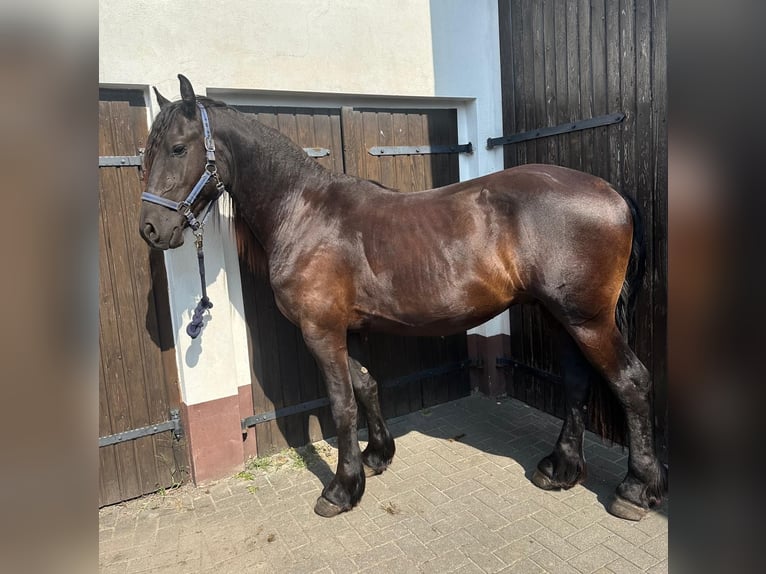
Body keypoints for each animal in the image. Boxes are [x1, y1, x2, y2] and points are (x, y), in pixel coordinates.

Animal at [141, 75, 668, 520]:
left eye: (178, 148)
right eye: (147, 153)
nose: (151, 229)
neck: (304, 213)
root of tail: (611, 192)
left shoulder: (320, 330)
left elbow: (342, 405)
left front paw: (342, 489)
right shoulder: (343, 328)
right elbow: (366, 385)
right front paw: (377, 456)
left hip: (588, 320)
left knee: (631, 382)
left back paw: (635, 490)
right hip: (562, 316)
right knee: (578, 382)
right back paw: (560, 469)